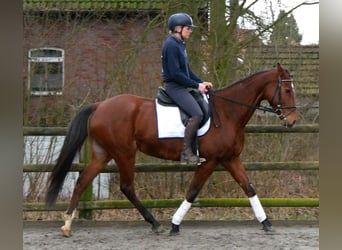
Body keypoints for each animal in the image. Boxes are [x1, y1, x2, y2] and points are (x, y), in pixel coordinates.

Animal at [45, 62, 296, 236]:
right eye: (287, 91)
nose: (292, 121)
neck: (227, 112)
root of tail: (99, 106)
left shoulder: (230, 158)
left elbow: (249, 188)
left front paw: (266, 223)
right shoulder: (211, 161)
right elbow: (192, 192)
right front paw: (174, 225)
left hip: (103, 154)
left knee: (82, 181)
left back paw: (67, 225)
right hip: (124, 153)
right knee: (127, 187)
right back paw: (154, 223)